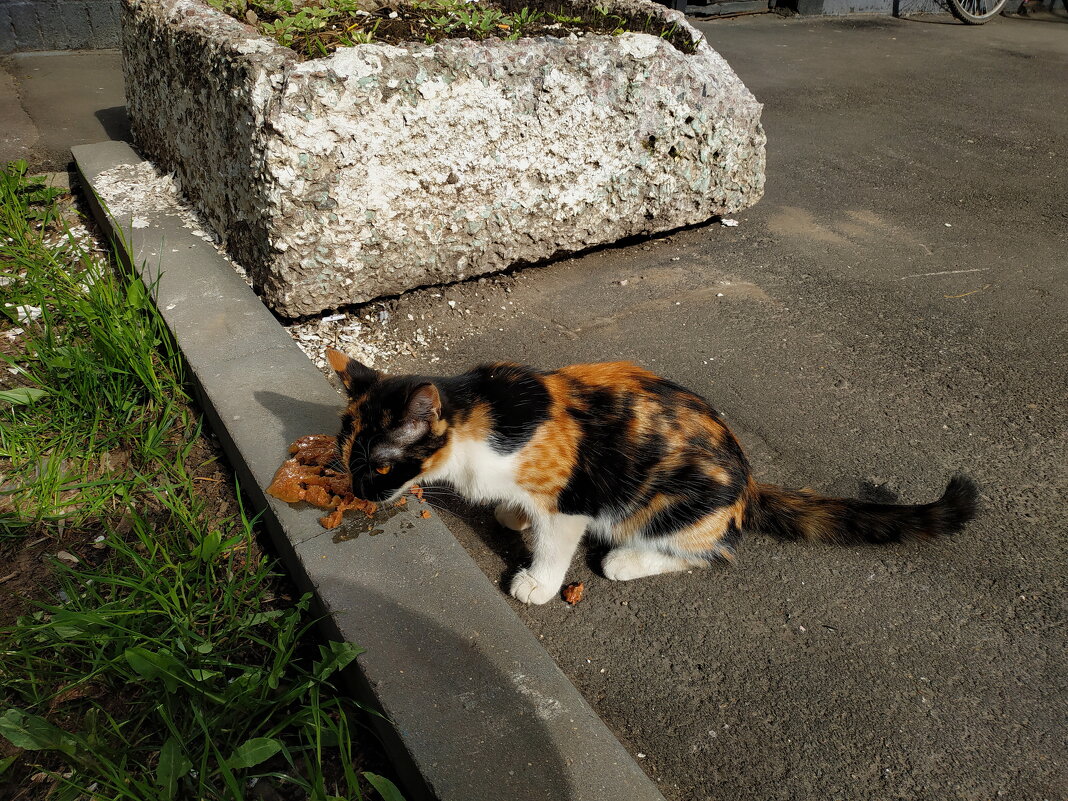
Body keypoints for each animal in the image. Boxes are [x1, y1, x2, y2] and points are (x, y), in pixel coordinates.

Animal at [322, 348, 978, 606]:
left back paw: (626, 560)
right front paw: (510, 516)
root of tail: (748, 483)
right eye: (347, 455)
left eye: (381, 465)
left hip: (665, 505)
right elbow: (517, 508)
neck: (479, 417)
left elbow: (555, 541)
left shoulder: (572, 499)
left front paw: (538, 581)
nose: (357, 491)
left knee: (716, 553)